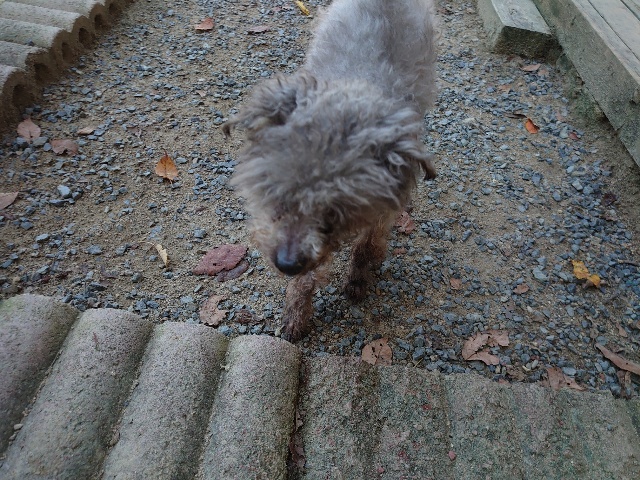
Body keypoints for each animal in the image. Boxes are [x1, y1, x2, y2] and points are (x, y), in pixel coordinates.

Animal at [224, 0, 439, 341]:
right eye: (278, 196)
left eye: (335, 212)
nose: (285, 264)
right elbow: (307, 277)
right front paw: (297, 312)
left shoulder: (385, 204)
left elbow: (367, 246)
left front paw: (359, 278)